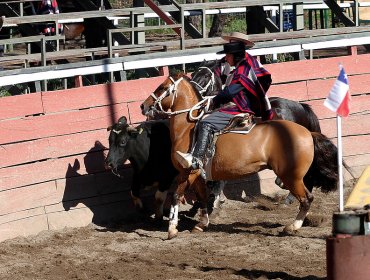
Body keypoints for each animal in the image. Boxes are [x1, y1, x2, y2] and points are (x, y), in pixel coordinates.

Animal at [140, 72, 340, 238]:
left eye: (162, 88)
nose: (144, 105)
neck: (188, 129)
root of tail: (307, 132)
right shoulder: (197, 175)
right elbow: (202, 196)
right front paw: (201, 223)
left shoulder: (188, 172)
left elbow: (175, 195)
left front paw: (172, 229)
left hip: (291, 176)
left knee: (306, 198)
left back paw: (292, 226)